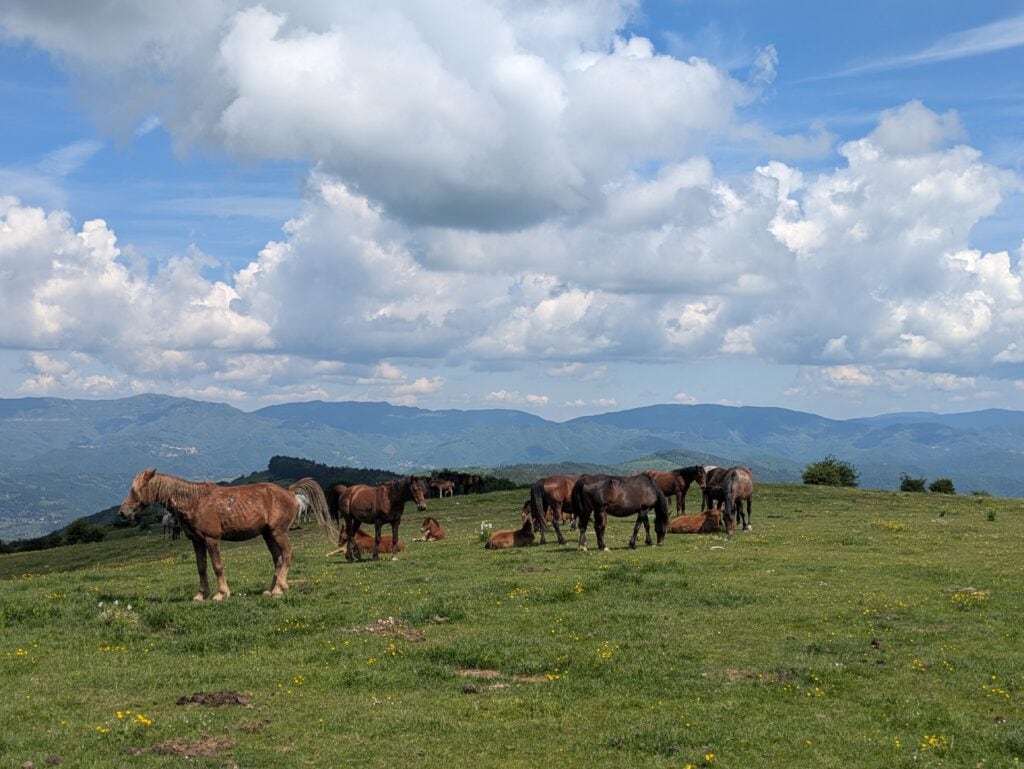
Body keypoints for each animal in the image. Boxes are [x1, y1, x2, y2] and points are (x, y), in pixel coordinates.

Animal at [119, 469, 329, 601]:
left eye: (140, 488)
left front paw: (221, 593)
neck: (195, 502)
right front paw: (201, 594)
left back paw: (279, 588)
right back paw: (271, 590)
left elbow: (217, 566)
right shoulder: (196, 541)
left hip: (279, 532)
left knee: (287, 555)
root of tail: (290, 492)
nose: (123, 512)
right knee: (277, 559)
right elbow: (201, 567)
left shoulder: (212, 539)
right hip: (268, 535)